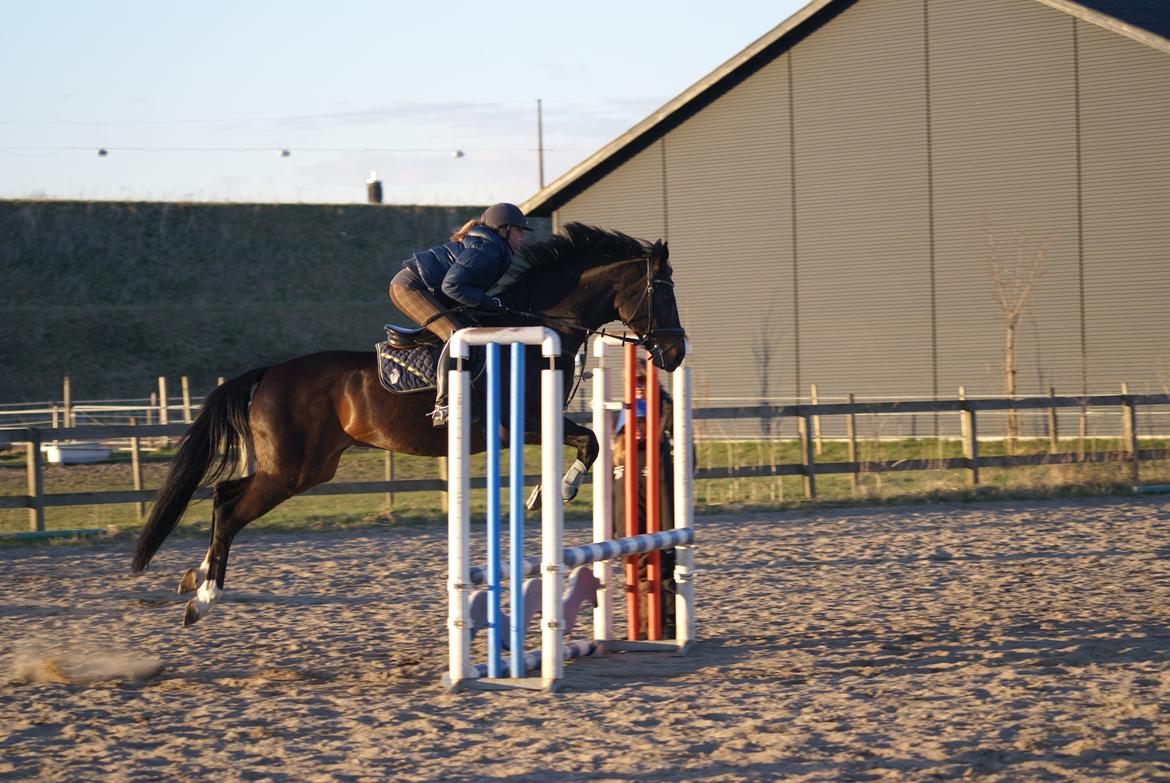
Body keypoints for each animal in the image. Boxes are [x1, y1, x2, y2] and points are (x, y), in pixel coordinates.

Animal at [132, 222, 687, 627]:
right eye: (663, 294)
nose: (677, 353)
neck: (536, 330)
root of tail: (268, 373)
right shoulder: (521, 423)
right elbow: (590, 441)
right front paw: (554, 492)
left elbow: (588, 442)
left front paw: (545, 492)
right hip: (291, 470)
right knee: (229, 509)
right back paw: (204, 597)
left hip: (304, 468)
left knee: (225, 495)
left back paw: (194, 577)